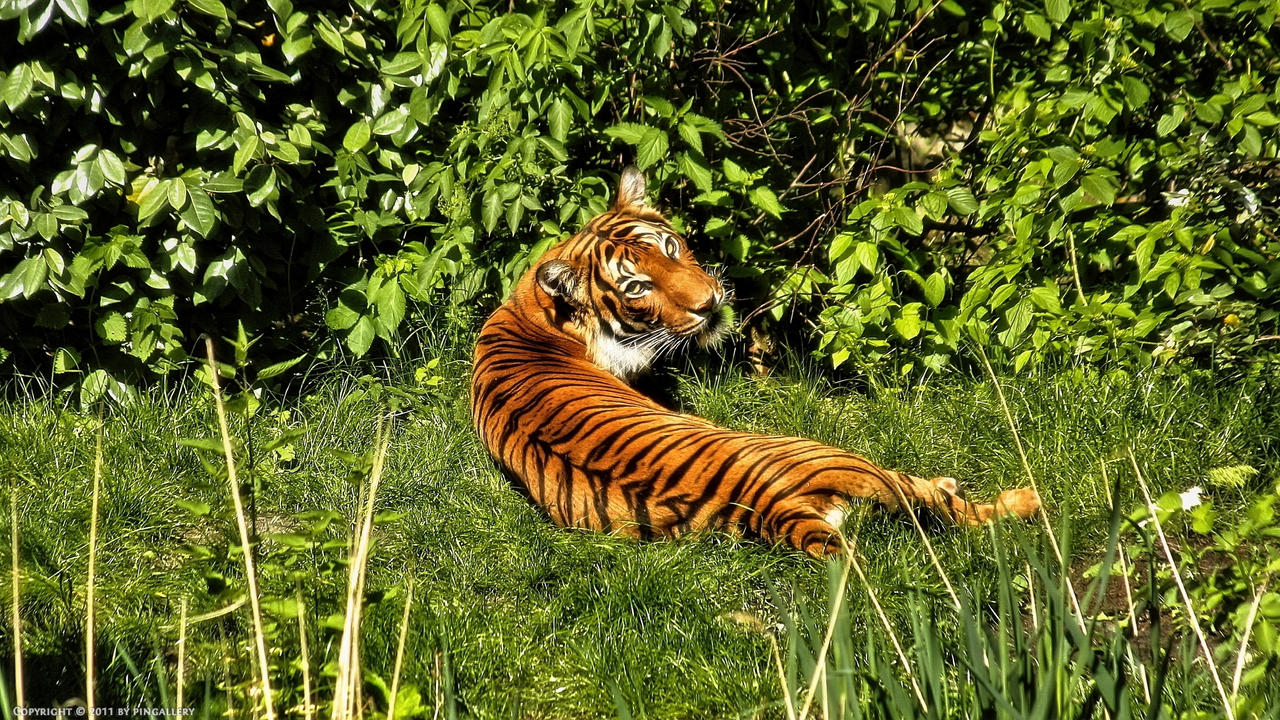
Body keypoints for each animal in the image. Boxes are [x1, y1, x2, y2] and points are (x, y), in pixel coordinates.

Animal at [471, 166, 1039, 556]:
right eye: (637, 288)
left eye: (671, 247)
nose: (709, 304)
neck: (536, 313)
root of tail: (770, 500)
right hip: (848, 458)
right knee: (953, 507)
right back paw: (1020, 498)